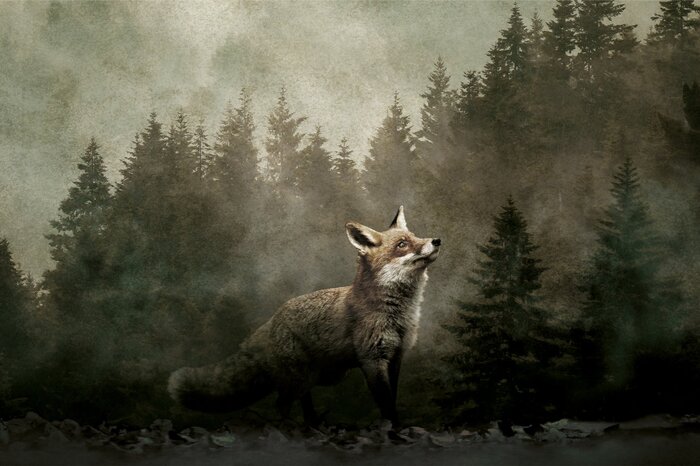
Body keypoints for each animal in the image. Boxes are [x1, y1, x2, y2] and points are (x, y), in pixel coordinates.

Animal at [168, 206, 441, 426]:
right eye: (402, 244)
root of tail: (269, 322)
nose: (437, 240)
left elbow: (391, 400)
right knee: (283, 403)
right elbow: (385, 404)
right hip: (303, 377)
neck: (398, 314)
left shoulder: (395, 357)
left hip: (320, 376)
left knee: (300, 401)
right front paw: (393, 431)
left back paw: (312, 425)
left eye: (415, 236)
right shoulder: (372, 360)